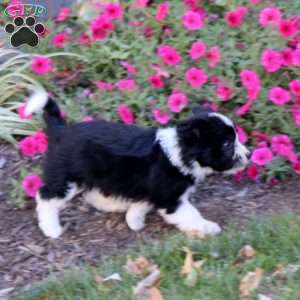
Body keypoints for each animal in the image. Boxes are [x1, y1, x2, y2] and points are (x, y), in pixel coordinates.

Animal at [24, 88, 250, 238]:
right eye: (227, 144)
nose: (249, 154)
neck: (181, 151)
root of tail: (61, 130)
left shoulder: (149, 188)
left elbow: (141, 204)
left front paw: (134, 221)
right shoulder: (172, 199)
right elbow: (191, 214)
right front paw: (208, 227)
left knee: (94, 193)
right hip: (65, 177)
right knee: (46, 198)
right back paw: (51, 229)